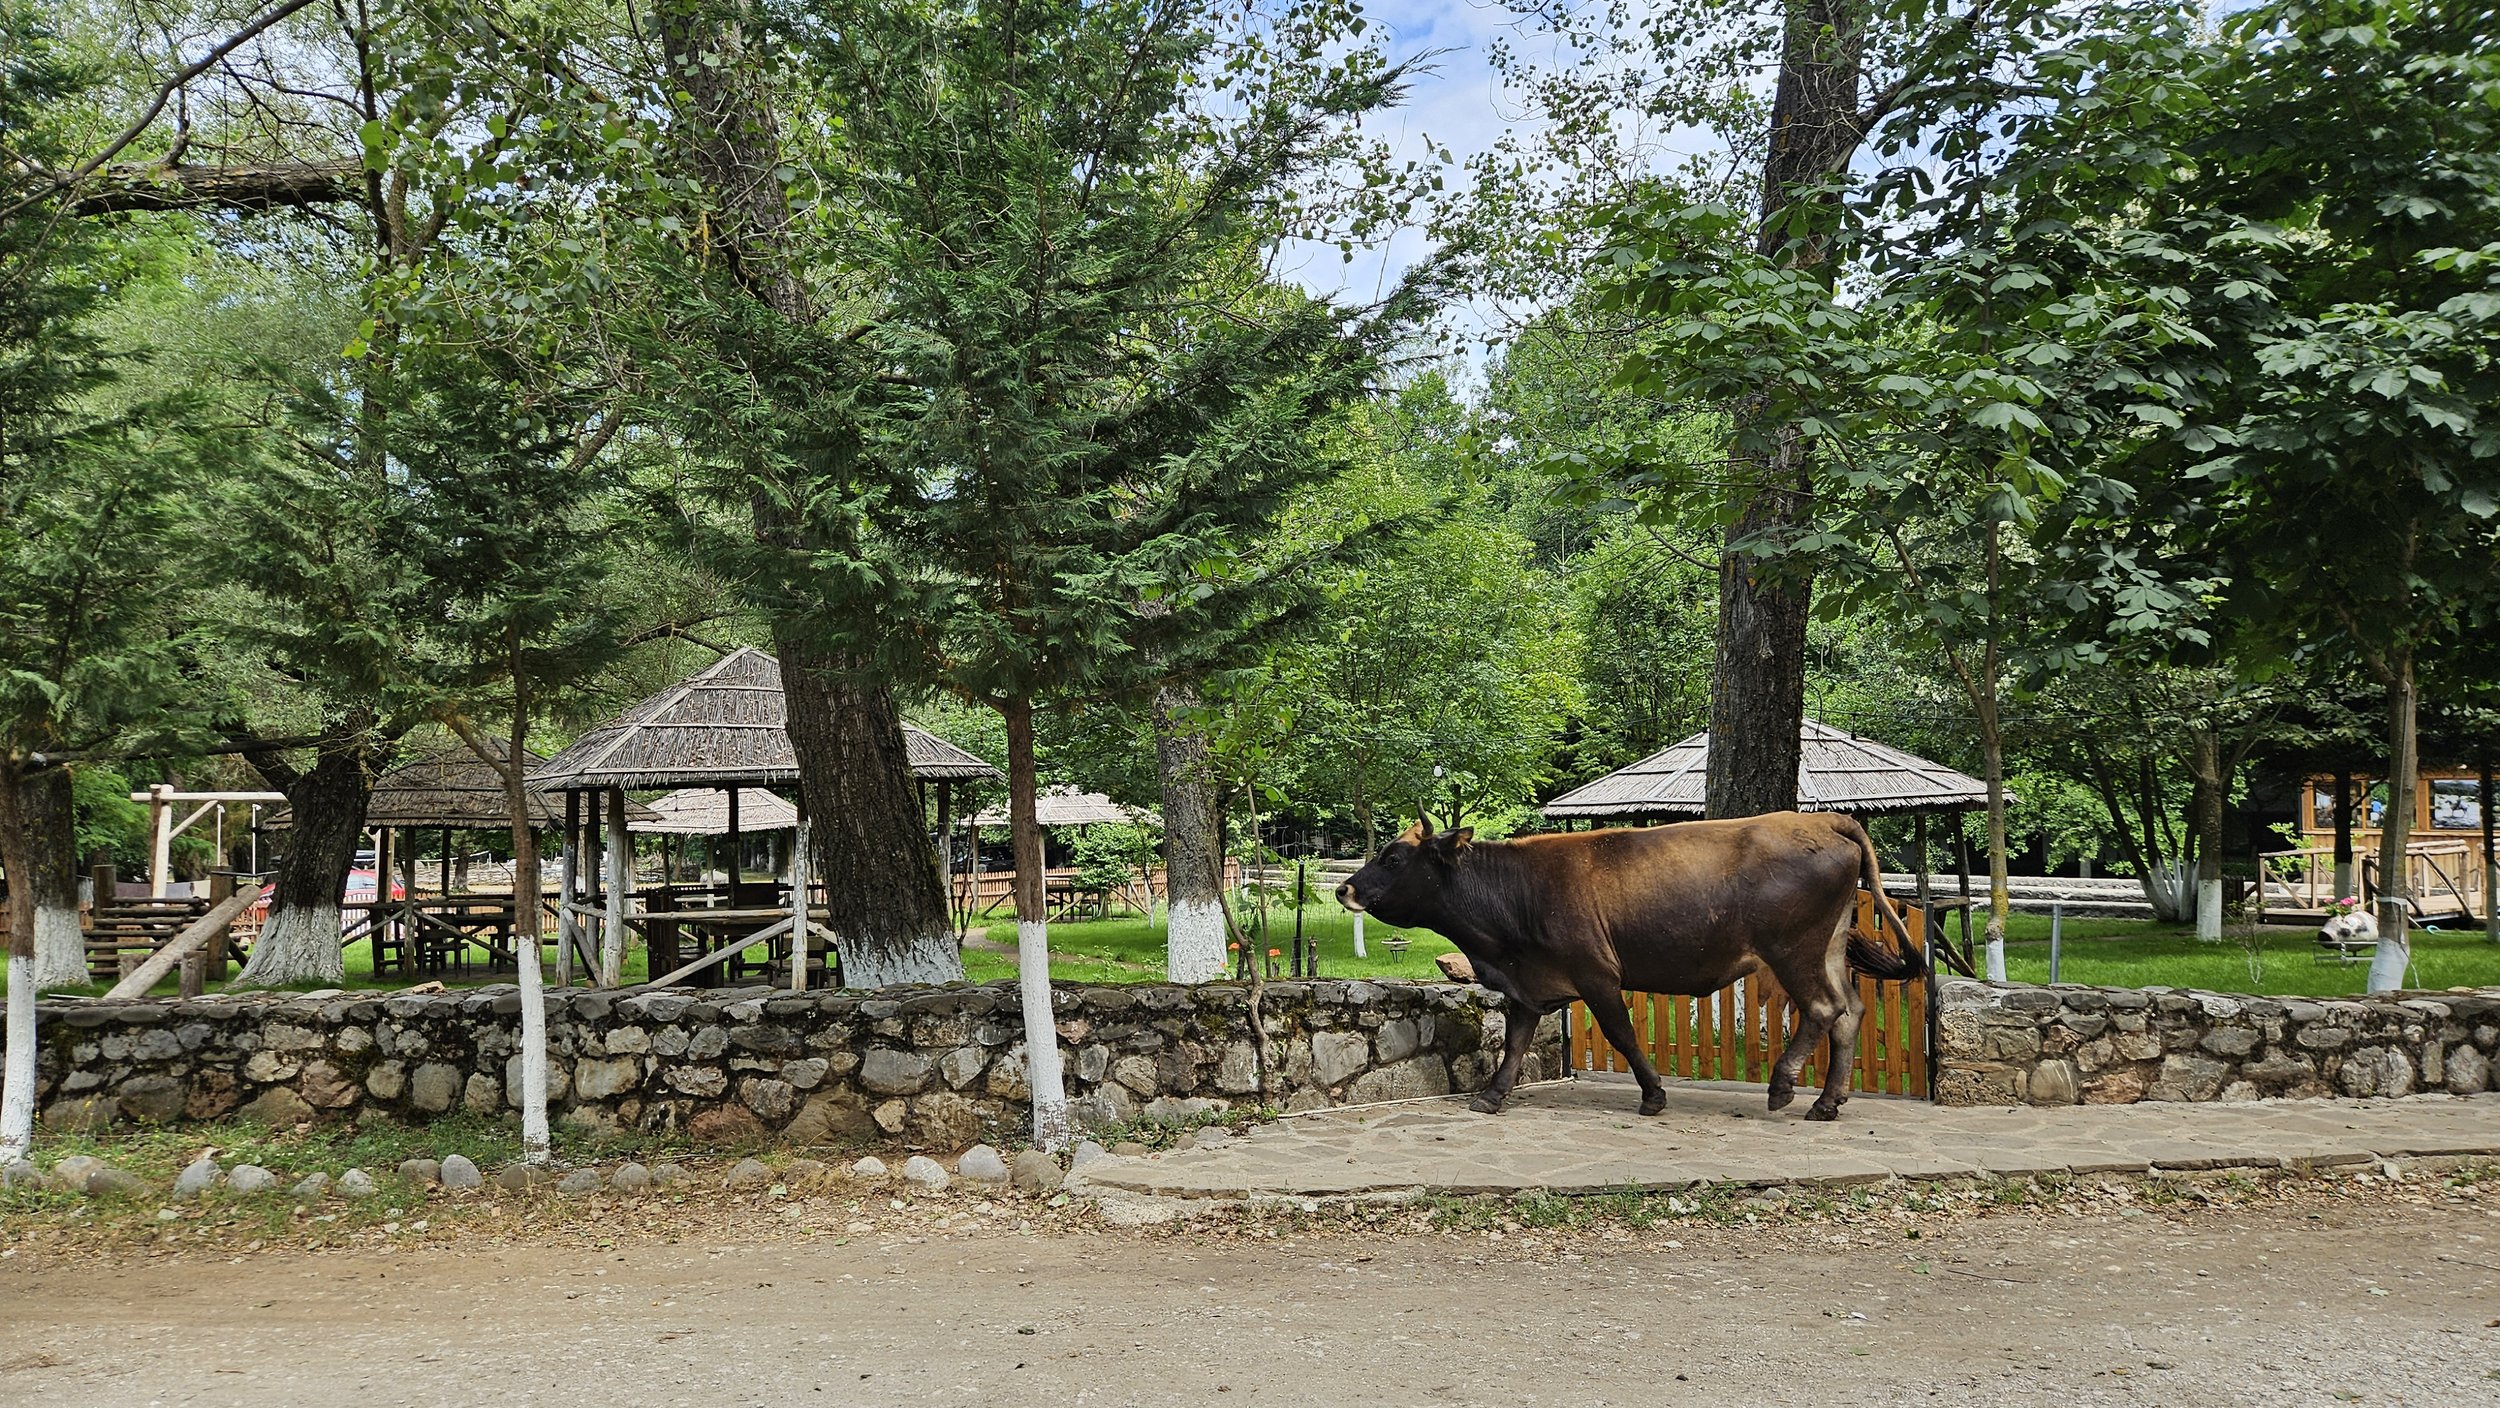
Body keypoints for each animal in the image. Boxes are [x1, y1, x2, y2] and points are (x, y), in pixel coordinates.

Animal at [1335, 811, 1923, 1123]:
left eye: (1393, 857)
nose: (1344, 888)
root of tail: (1824, 818)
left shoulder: (1596, 975)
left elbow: (1623, 1033)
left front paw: (1653, 1094)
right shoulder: (1529, 984)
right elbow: (1516, 1043)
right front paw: (1492, 1095)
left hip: (1793, 951)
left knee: (1824, 1009)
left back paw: (1782, 1087)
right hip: (1828, 947)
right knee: (1849, 1013)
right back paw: (1827, 1101)